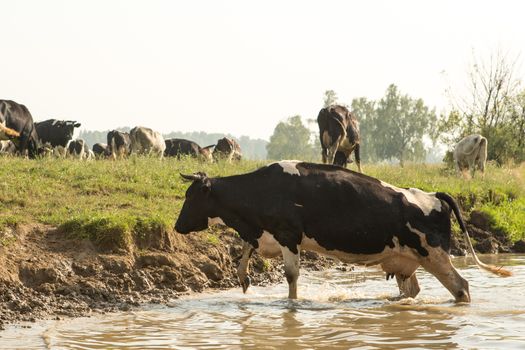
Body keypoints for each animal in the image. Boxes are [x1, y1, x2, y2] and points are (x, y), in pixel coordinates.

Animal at [175, 161, 508, 300]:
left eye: (191, 197)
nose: (177, 226)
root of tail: (432, 195)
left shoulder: (288, 235)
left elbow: (291, 277)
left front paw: (292, 305)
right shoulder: (263, 234)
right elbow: (244, 252)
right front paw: (243, 279)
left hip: (435, 255)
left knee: (461, 286)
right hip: (406, 260)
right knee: (412, 290)